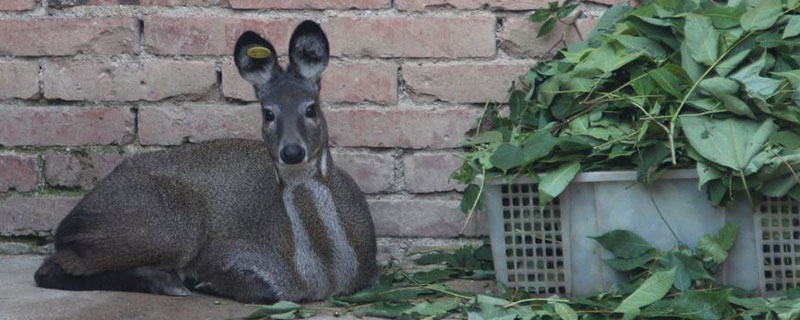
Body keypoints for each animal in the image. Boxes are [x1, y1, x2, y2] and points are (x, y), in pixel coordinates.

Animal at [33, 20, 378, 302]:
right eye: (268, 112)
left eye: (310, 107)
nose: (291, 151)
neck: (323, 275)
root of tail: (69, 223)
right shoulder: (225, 253)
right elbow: (263, 291)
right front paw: (208, 283)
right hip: (169, 229)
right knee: (48, 269)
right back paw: (166, 282)